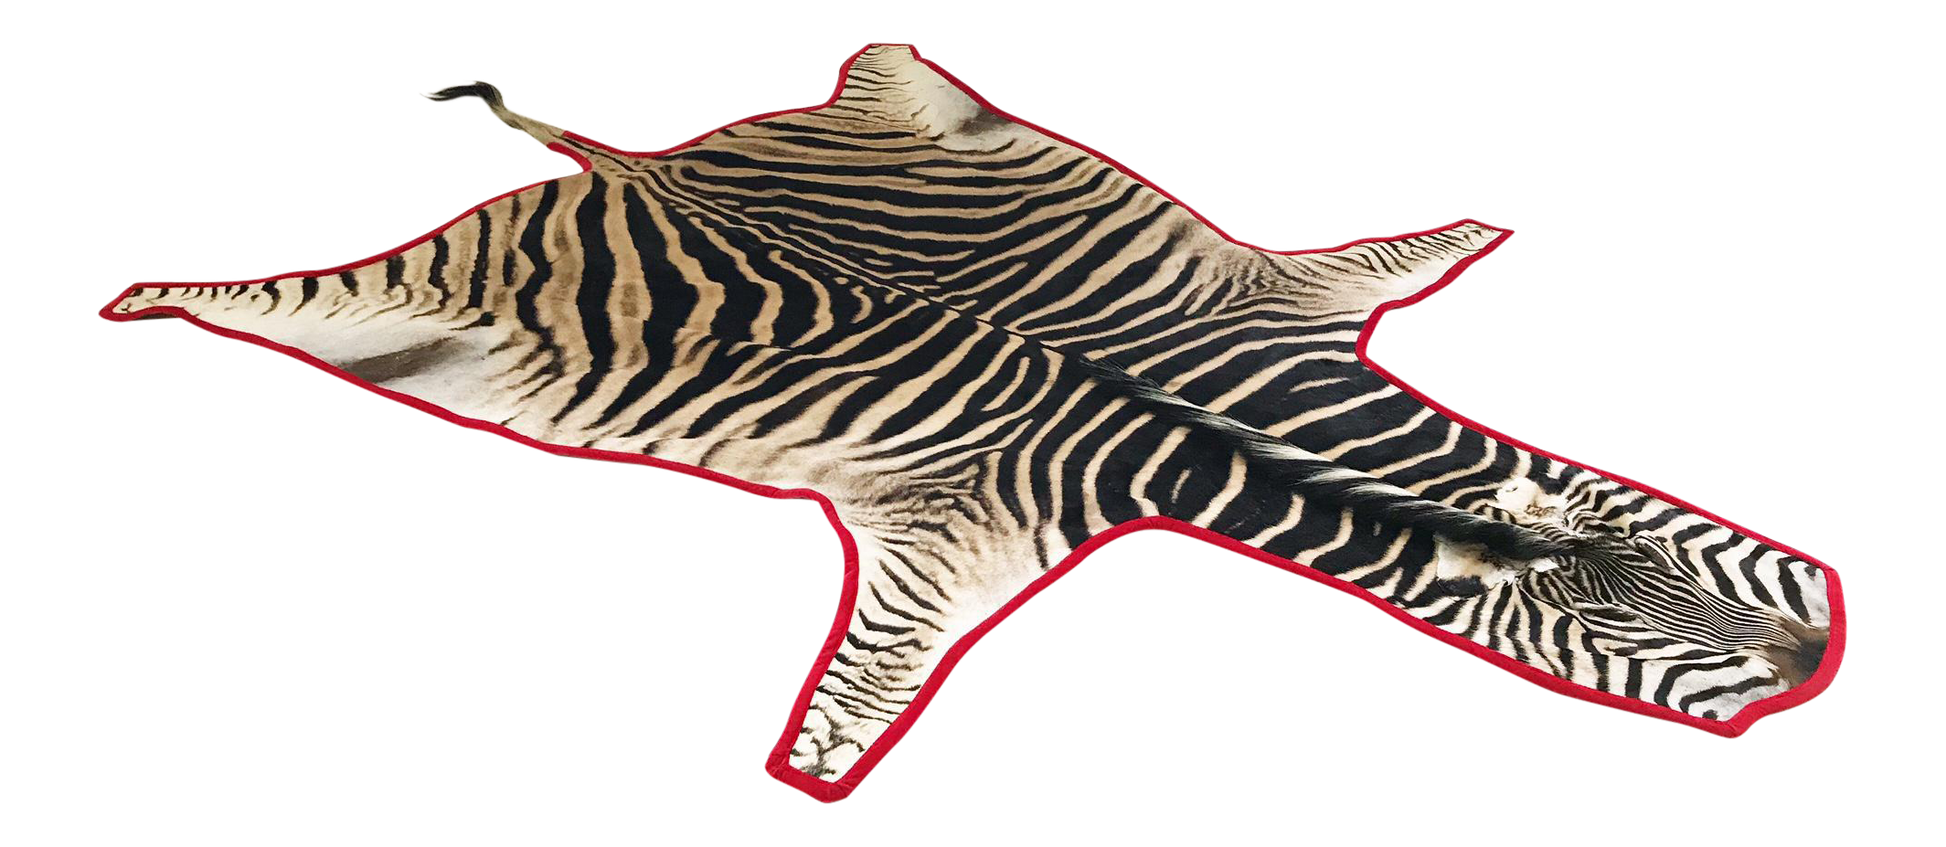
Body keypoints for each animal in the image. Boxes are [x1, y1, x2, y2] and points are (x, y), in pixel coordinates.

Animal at [99, 42, 1843, 802]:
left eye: (1690, 552)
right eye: (1596, 633)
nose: (1818, 655)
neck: (1216, 416)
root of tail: (650, 167)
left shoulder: (1272, 301)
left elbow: (1371, 267)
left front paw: (1460, 239)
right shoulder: (953, 531)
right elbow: (874, 675)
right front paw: (815, 764)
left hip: (908, 110)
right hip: (416, 314)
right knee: (289, 299)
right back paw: (154, 294)